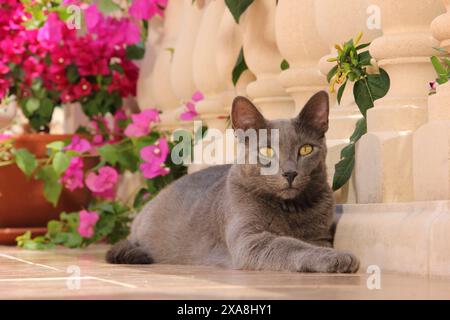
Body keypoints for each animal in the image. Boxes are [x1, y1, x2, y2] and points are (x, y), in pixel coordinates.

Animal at [105, 91, 358, 274]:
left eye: (305, 149)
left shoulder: (320, 235)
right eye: (266, 150)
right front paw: (339, 257)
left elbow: (308, 243)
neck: (290, 210)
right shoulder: (250, 240)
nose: (289, 173)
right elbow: (290, 244)